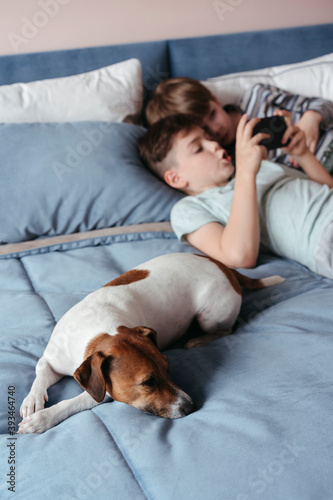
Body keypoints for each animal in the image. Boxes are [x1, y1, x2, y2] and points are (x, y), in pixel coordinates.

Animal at [18, 254, 282, 434]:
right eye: (148, 382)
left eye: (168, 368)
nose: (191, 406)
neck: (97, 332)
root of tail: (223, 266)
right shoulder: (51, 360)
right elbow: (40, 375)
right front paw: (32, 402)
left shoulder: (105, 393)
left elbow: (71, 403)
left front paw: (44, 418)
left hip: (210, 317)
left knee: (227, 329)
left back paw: (197, 340)